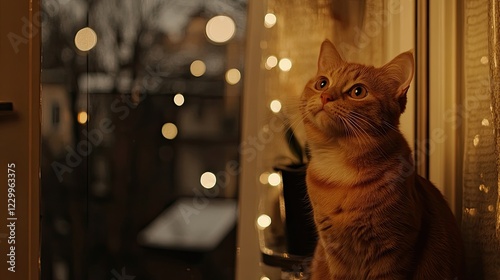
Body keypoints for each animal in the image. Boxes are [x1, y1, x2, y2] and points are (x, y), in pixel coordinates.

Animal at [298, 40, 462, 280]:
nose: (325, 96)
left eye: (358, 91)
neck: (340, 171)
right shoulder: (334, 254)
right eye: (322, 83)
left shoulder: (392, 253)